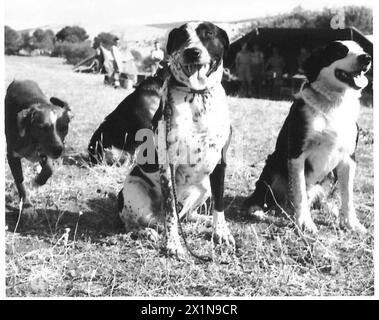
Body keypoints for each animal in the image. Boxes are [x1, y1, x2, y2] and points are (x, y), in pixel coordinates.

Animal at [5, 80, 72, 208]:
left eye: (64, 128)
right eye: (42, 128)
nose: (58, 150)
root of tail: (19, 80)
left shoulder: (45, 152)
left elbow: (49, 169)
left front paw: (38, 181)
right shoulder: (12, 155)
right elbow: (19, 180)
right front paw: (26, 203)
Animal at [118, 21, 235, 258]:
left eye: (209, 34)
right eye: (182, 37)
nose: (193, 52)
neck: (198, 96)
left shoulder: (220, 162)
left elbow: (219, 204)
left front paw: (221, 232)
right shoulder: (168, 166)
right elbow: (170, 209)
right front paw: (173, 244)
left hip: (203, 186)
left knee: (186, 215)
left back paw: (201, 220)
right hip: (135, 191)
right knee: (133, 222)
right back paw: (147, 232)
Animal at [245, 41, 372, 234]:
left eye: (361, 49)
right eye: (340, 51)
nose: (367, 57)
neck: (333, 105)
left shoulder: (349, 158)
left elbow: (348, 196)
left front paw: (352, 223)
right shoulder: (297, 154)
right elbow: (300, 193)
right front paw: (304, 222)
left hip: (330, 176)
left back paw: (329, 208)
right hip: (272, 165)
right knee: (261, 194)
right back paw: (257, 209)